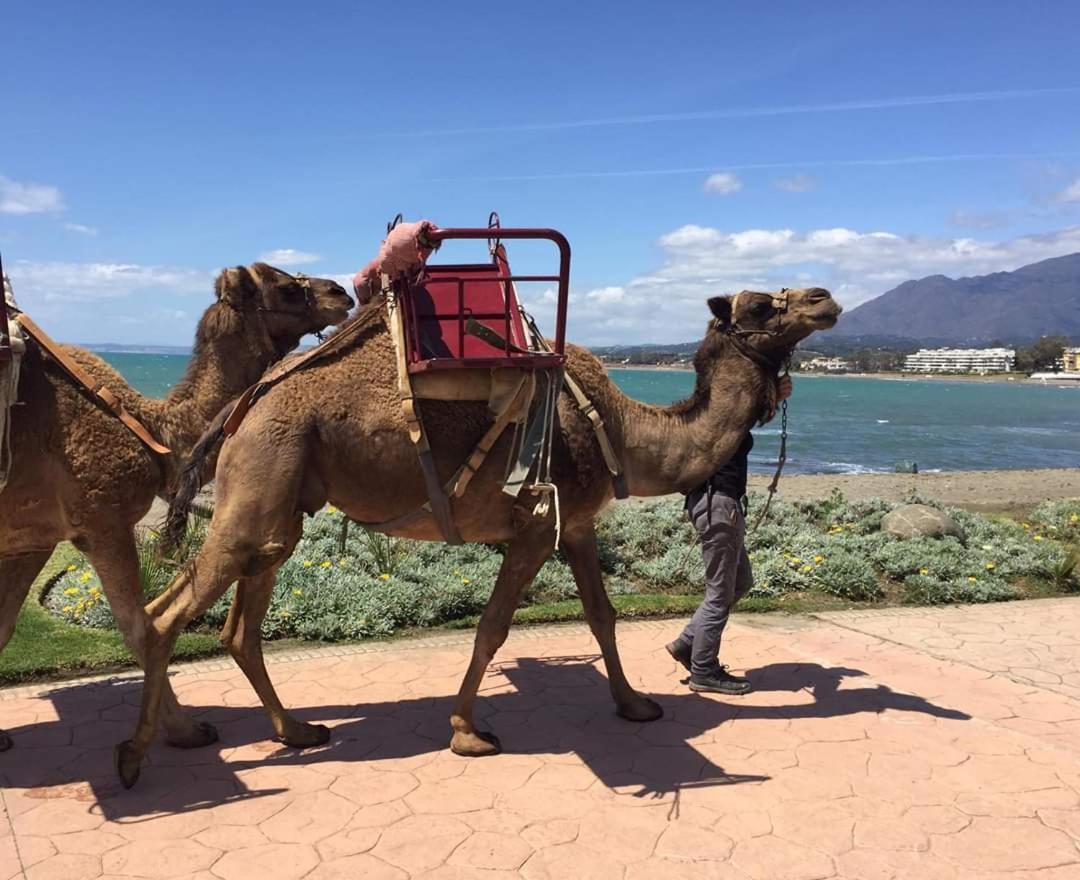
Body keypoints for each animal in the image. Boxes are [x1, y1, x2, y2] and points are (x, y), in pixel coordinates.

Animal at [0, 263, 352, 751]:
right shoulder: (102, 519)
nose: (341, 293)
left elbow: (4, 628)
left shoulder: (33, 536)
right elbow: (140, 628)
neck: (149, 424)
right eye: (283, 286)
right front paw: (186, 730)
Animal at [113, 285, 838, 786]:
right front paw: (467, 731)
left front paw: (635, 705)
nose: (825, 299)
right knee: (168, 612)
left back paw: (293, 732)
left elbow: (602, 617)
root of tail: (244, 403)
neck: (617, 429)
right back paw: (140, 756)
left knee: (235, 624)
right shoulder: (535, 526)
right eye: (763, 303)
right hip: (263, 476)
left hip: (282, 506)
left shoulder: (575, 525)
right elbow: (492, 627)